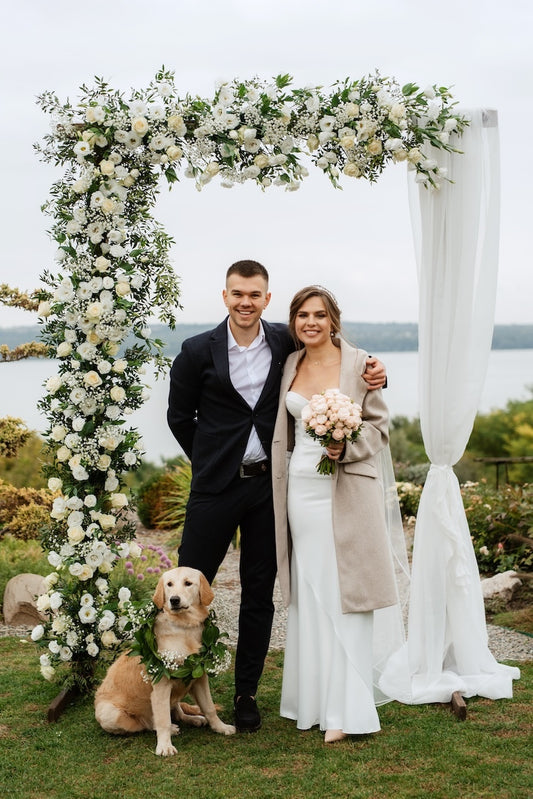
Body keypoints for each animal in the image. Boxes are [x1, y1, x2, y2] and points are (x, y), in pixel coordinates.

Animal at [94, 568, 235, 756]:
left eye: (188, 583)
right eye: (169, 584)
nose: (174, 600)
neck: (184, 628)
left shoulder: (199, 677)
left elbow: (209, 707)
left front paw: (221, 727)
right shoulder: (161, 686)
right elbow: (163, 721)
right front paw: (164, 746)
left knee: (178, 712)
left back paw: (194, 719)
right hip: (112, 714)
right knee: (147, 724)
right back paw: (172, 729)